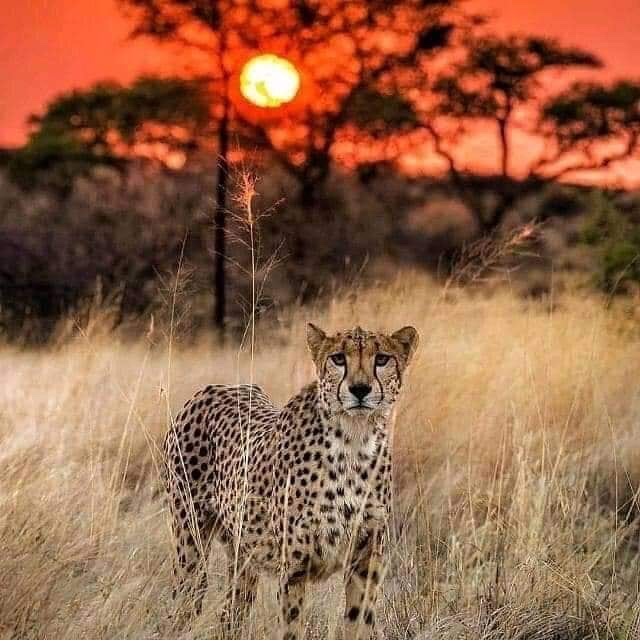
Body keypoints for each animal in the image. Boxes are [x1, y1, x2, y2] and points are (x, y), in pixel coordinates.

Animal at [163, 323, 419, 638]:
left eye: (382, 359)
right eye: (338, 358)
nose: (360, 389)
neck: (354, 440)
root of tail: (214, 388)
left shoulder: (366, 561)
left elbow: (358, 622)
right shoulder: (294, 569)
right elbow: (292, 627)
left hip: (243, 555)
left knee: (231, 614)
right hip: (190, 545)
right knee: (185, 603)